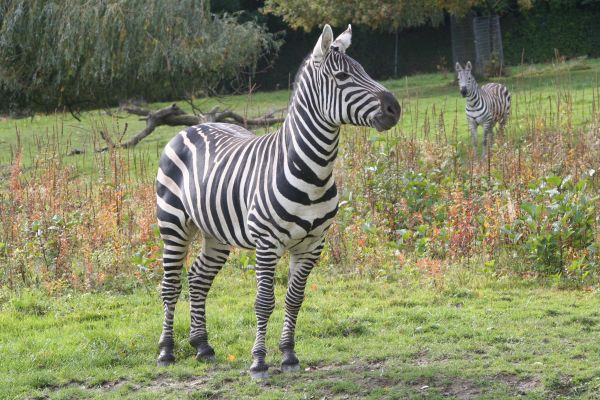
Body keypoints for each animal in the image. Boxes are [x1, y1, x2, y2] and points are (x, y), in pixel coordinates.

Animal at [155, 25, 400, 378]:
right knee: (171, 284)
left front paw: (288, 354)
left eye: (365, 71)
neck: (314, 171)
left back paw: (202, 345)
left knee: (199, 278)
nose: (395, 108)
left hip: (216, 233)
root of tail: (196, 125)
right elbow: (264, 302)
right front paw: (259, 361)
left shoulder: (313, 243)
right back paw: (166, 351)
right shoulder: (267, 242)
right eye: (342, 76)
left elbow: (295, 299)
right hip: (173, 223)